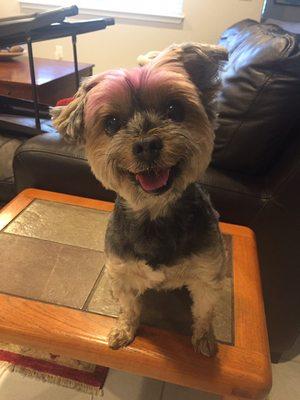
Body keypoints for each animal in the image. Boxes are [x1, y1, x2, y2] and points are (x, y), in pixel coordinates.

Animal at [52, 43, 227, 356]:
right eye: (111, 123)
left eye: (174, 109)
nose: (146, 145)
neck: (154, 213)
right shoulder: (122, 272)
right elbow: (129, 308)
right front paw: (124, 330)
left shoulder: (208, 274)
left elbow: (205, 311)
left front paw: (205, 339)